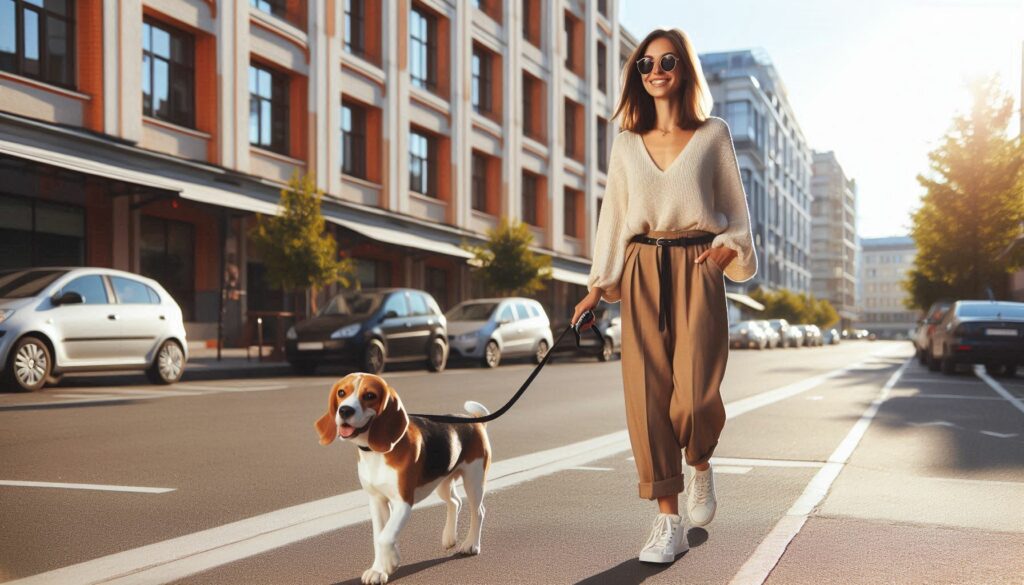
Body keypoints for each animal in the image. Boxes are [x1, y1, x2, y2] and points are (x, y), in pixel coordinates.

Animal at [313, 372, 493, 581]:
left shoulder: (403, 501)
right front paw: (379, 569)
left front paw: (391, 562)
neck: (375, 453)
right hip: (442, 482)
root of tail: (474, 420)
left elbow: (385, 537)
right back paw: (449, 537)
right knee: (455, 502)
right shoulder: (377, 500)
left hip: (474, 480)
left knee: (478, 511)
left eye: (370, 395)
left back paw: (471, 544)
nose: (344, 410)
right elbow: (379, 536)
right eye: (341, 392)